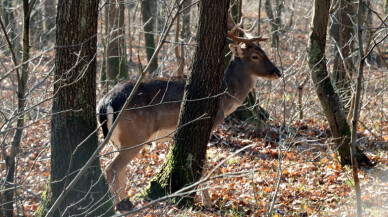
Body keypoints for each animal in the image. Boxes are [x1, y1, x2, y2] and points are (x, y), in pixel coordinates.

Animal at [96, 20, 280, 210]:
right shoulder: (210, 123)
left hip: (119, 140)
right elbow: (203, 162)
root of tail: (105, 104)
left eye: (264, 52)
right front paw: (207, 202)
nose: (277, 72)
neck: (225, 96)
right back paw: (122, 205)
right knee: (113, 168)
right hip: (135, 135)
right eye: (255, 56)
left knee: (119, 169)